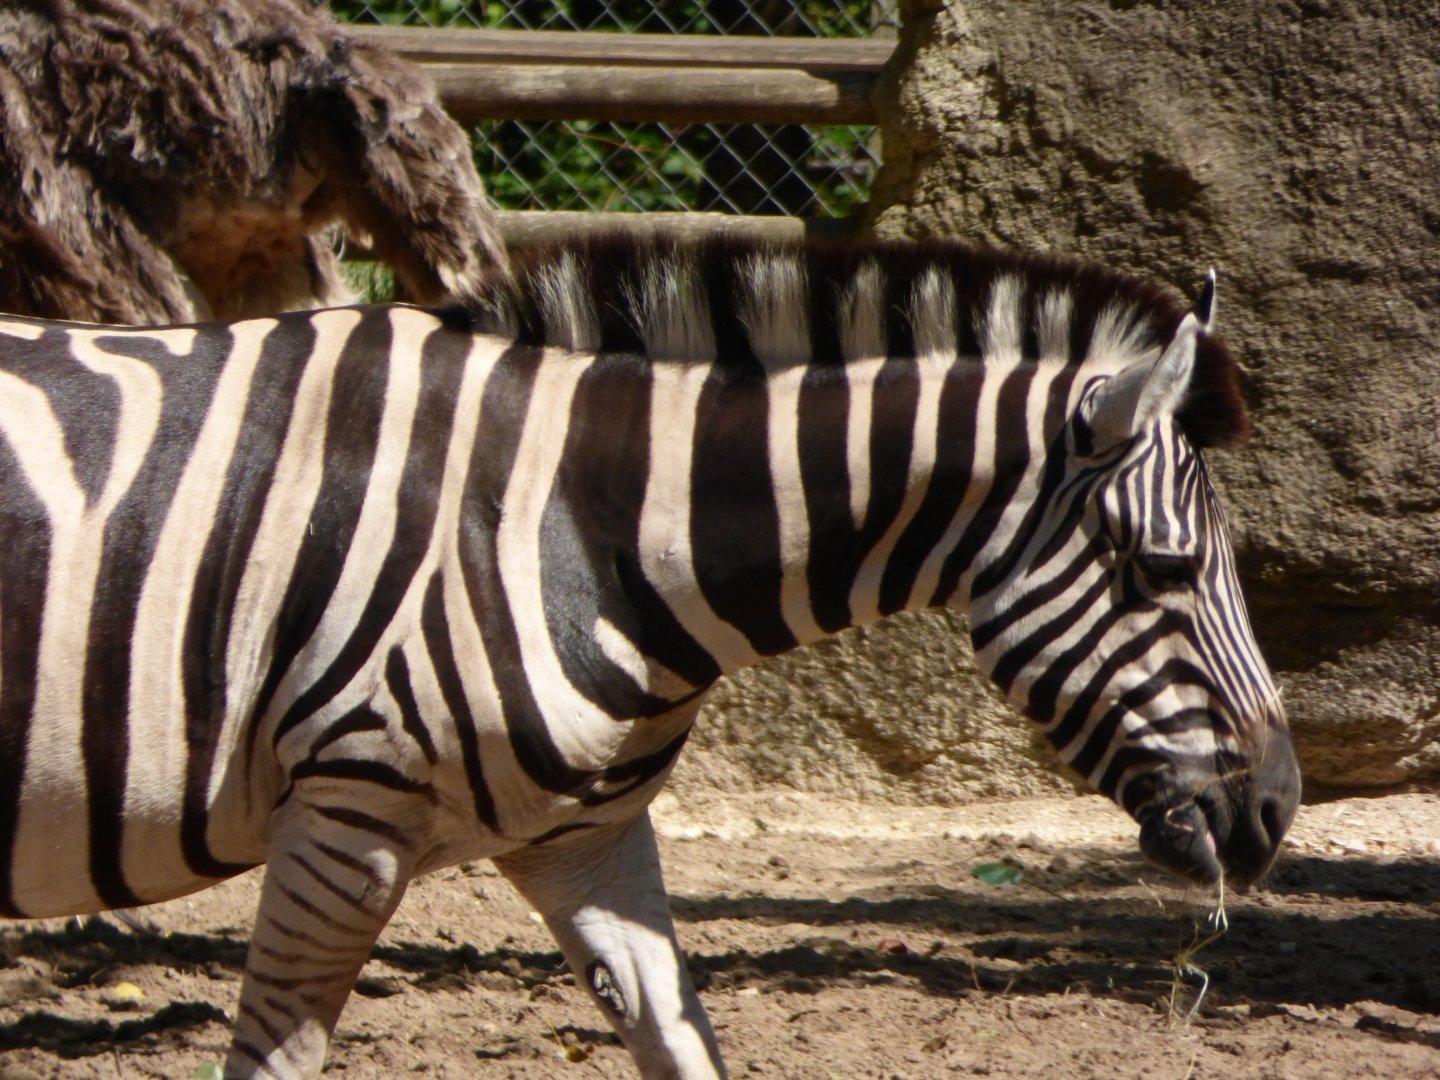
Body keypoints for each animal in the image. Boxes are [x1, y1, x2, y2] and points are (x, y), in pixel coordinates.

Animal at [0, 233, 1299, 1078]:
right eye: (1165, 569)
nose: (1277, 814)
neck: (583, 522)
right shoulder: (347, 823)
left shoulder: (585, 839)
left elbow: (678, 1039)